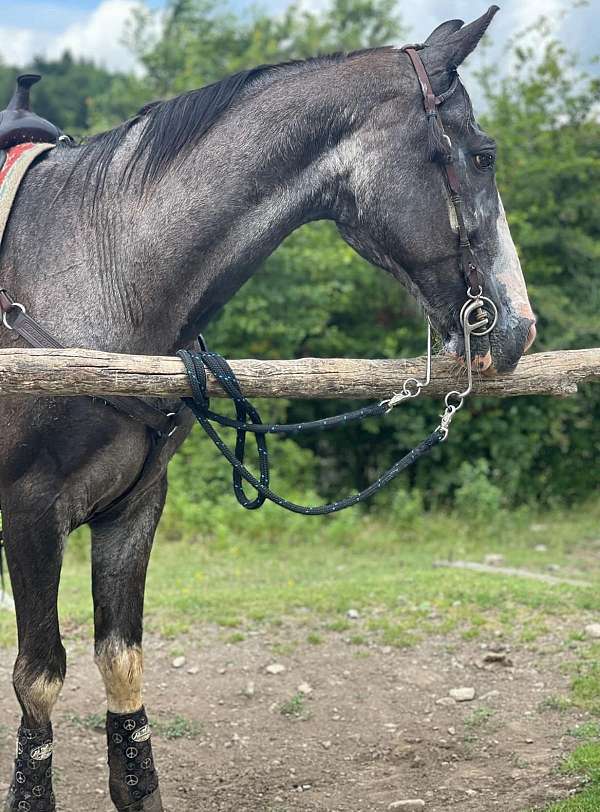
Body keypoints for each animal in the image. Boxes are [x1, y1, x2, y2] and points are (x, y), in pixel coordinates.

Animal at [0, 7, 536, 812]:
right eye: (482, 155)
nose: (518, 328)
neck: (93, 272)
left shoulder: (134, 508)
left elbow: (122, 665)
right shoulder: (31, 512)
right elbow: (38, 678)